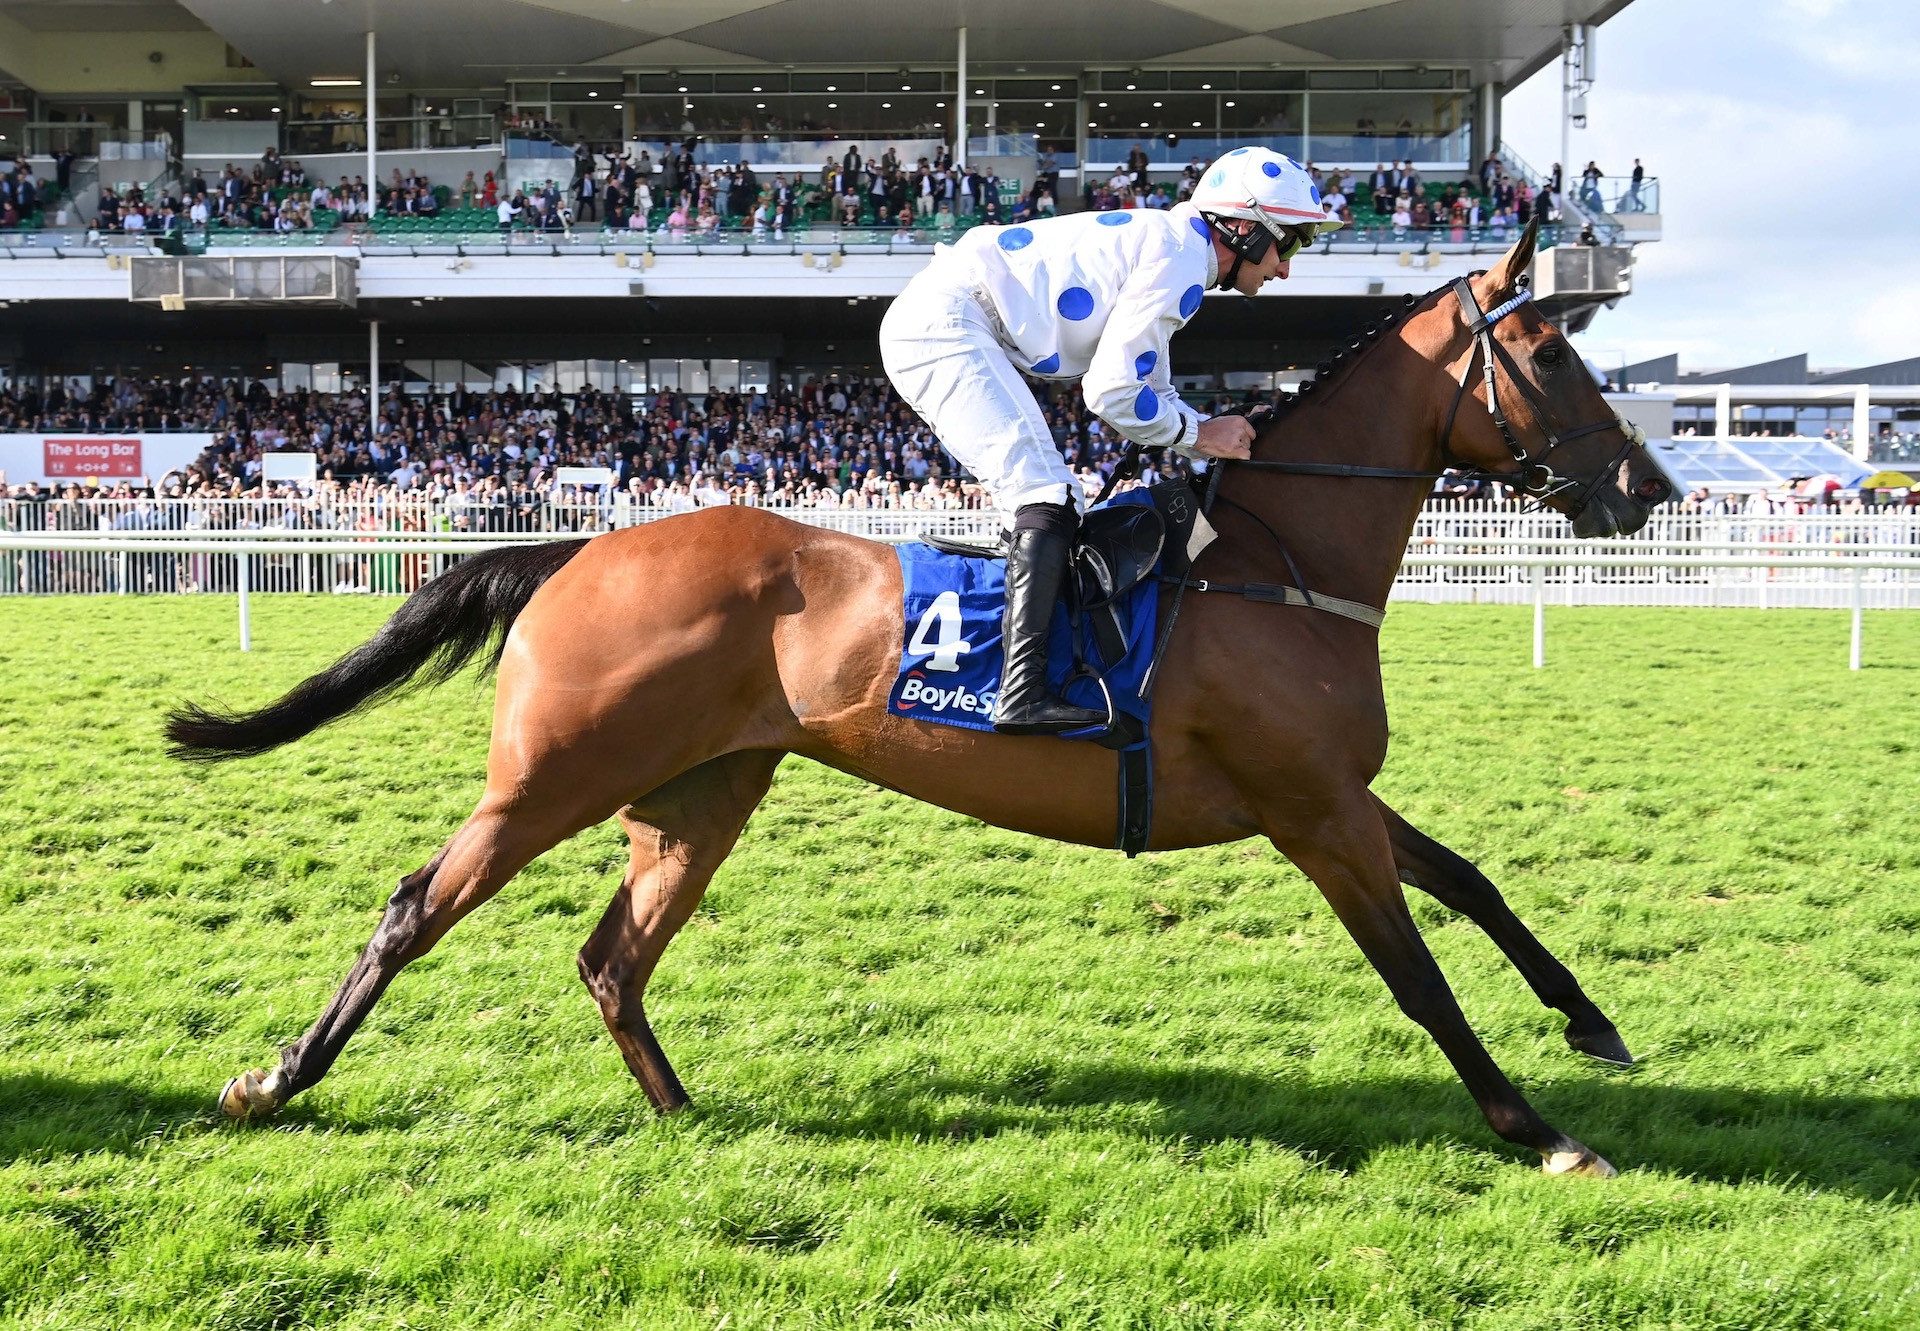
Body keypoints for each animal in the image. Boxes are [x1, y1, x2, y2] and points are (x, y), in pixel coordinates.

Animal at [180, 222, 1681, 1175]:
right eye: (1550, 356)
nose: (1648, 489)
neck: (1272, 555)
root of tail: (578, 547)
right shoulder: (1309, 809)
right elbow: (1419, 972)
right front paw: (1540, 1128)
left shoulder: (1329, 791)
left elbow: (1475, 881)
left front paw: (1593, 1023)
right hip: (551, 777)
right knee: (414, 906)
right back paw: (278, 1077)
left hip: (699, 791)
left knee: (612, 956)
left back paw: (686, 1112)